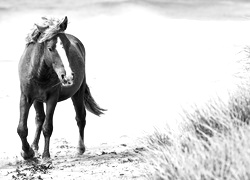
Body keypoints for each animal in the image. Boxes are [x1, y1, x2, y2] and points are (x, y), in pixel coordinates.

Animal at [17, 15, 105, 159]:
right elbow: (22, 128)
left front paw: (45, 155)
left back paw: (80, 148)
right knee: (39, 118)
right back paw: (34, 146)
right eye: (50, 48)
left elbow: (48, 127)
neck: (39, 72)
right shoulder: (26, 97)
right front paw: (27, 152)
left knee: (80, 117)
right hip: (37, 100)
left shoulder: (52, 98)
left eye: (68, 46)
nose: (68, 76)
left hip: (77, 93)